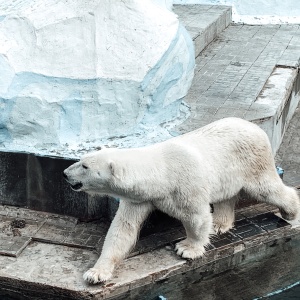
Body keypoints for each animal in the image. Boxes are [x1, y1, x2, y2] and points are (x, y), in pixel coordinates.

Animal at [62, 116, 298, 284]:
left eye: (85, 166)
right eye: (80, 160)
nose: (65, 173)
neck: (161, 173)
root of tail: (254, 126)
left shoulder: (186, 185)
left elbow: (197, 217)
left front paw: (187, 249)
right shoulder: (139, 199)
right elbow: (122, 229)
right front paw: (96, 273)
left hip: (252, 160)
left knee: (267, 188)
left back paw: (291, 211)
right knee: (226, 196)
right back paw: (221, 224)